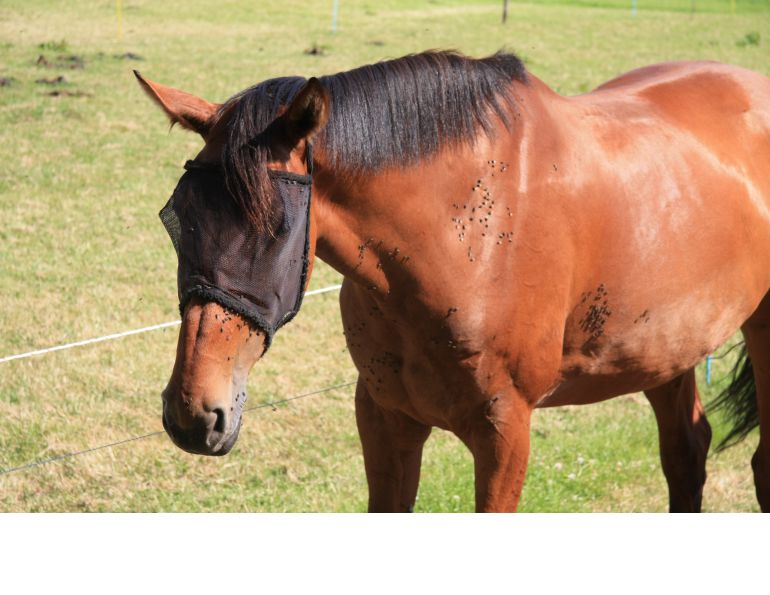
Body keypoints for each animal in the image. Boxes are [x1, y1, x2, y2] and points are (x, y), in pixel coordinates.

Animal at [135, 50, 770, 512]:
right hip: (666, 350)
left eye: (276, 229)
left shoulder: (505, 432)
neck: (460, 245)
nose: (193, 413)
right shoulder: (385, 418)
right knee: (686, 454)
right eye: (177, 218)